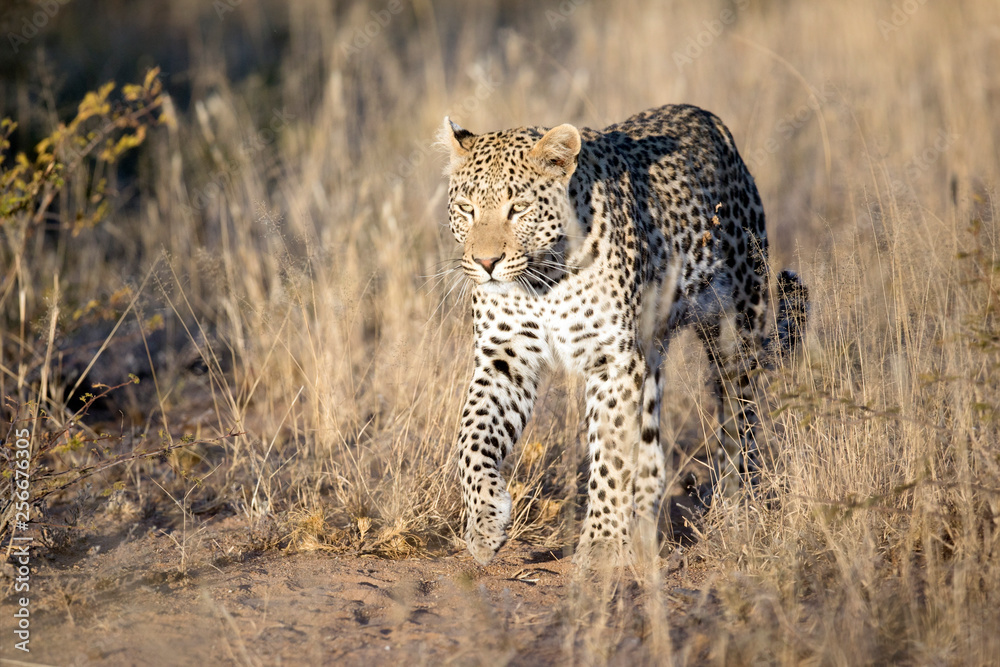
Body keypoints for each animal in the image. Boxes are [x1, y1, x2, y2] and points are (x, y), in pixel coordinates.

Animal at [440, 104, 808, 567]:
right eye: (466, 208)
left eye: (518, 208)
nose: (486, 263)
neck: (542, 280)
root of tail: (709, 120)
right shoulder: (504, 356)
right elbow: (471, 436)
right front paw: (485, 523)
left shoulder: (612, 360)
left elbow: (611, 452)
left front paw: (600, 545)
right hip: (652, 352)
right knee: (651, 447)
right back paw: (643, 530)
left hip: (735, 331)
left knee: (740, 425)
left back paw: (736, 508)